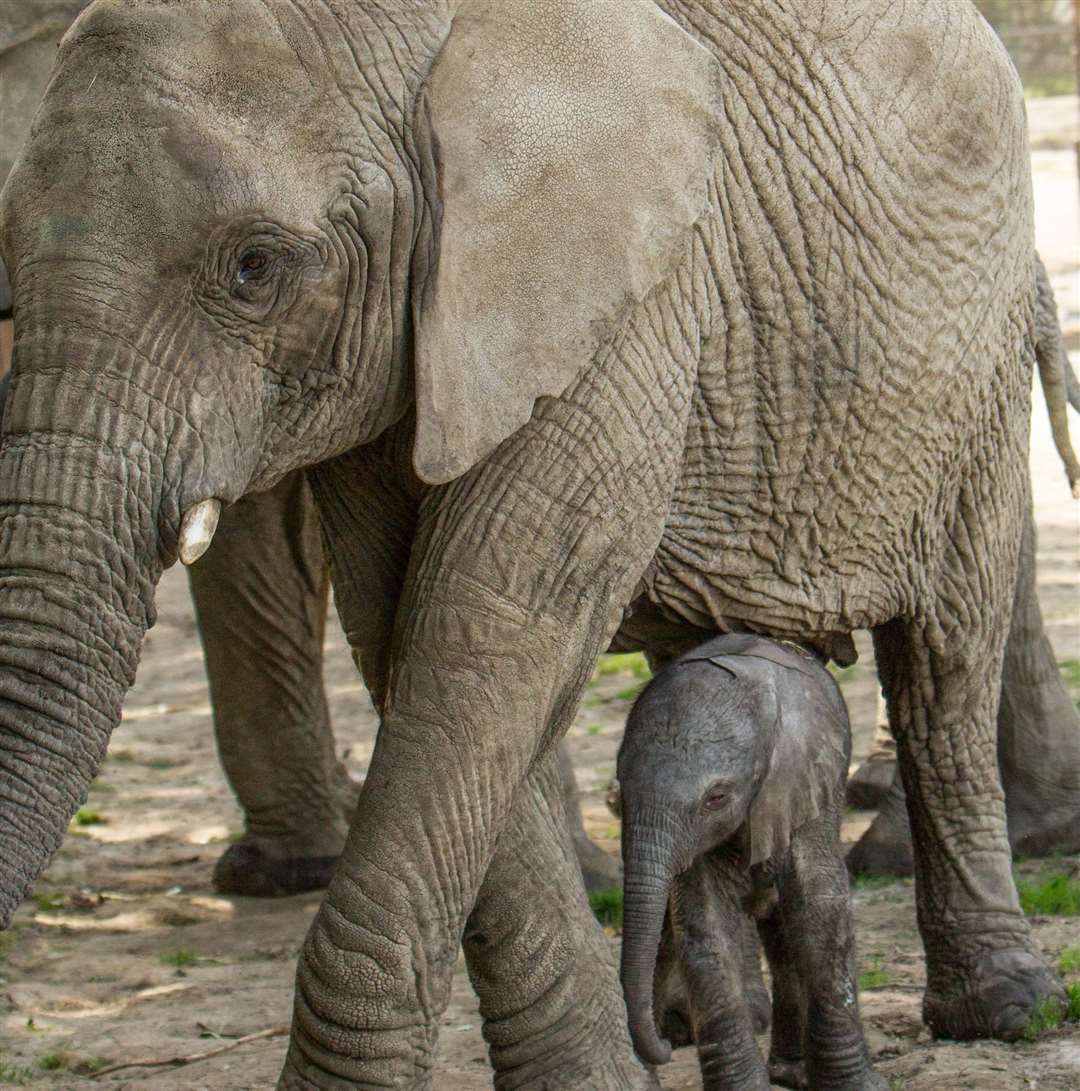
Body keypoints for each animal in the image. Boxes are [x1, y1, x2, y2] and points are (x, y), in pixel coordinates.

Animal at [619, 632, 881, 1091]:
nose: (664, 1049)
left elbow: (819, 906)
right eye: (620, 789)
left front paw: (857, 1086)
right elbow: (704, 921)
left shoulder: (807, 781)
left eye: (716, 798)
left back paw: (793, 1073)